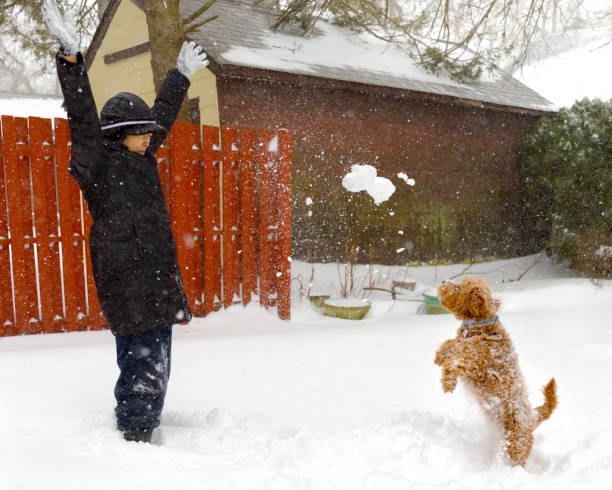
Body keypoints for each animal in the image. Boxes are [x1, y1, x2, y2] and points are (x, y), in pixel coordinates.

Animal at [432, 278, 556, 466]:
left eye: (460, 286)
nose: (443, 281)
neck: (480, 324)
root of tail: (533, 417)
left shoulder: (475, 359)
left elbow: (455, 360)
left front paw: (448, 383)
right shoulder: (463, 342)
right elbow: (451, 344)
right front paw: (439, 356)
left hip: (516, 443)